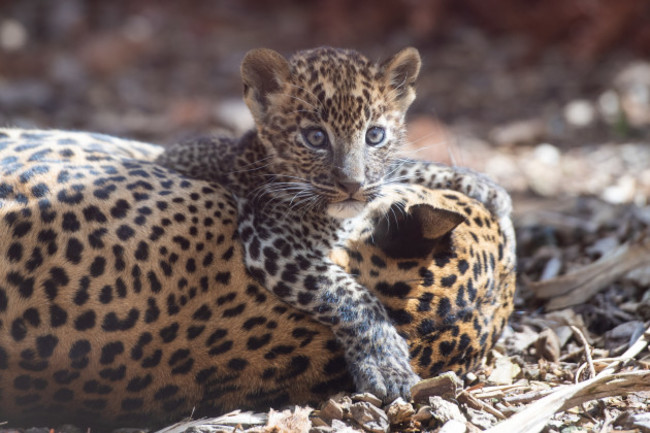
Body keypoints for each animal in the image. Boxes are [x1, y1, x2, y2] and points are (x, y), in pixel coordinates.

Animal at [156, 46, 515, 402]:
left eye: (374, 135)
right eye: (315, 137)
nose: (352, 184)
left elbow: (400, 168)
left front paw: (484, 187)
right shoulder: (274, 246)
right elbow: (351, 295)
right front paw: (387, 366)